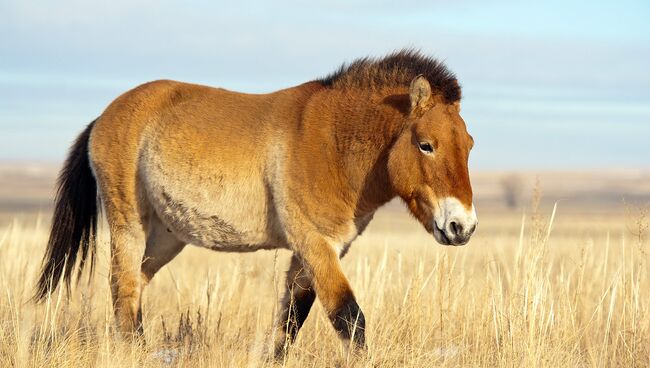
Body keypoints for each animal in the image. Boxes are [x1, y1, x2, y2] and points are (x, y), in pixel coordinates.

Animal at [35, 49, 476, 360]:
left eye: (469, 145)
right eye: (426, 145)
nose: (463, 227)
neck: (330, 142)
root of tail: (103, 117)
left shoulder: (316, 253)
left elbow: (290, 321)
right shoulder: (315, 245)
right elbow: (349, 319)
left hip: (164, 237)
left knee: (135, 288)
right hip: (128, 224)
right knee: (123, 288)